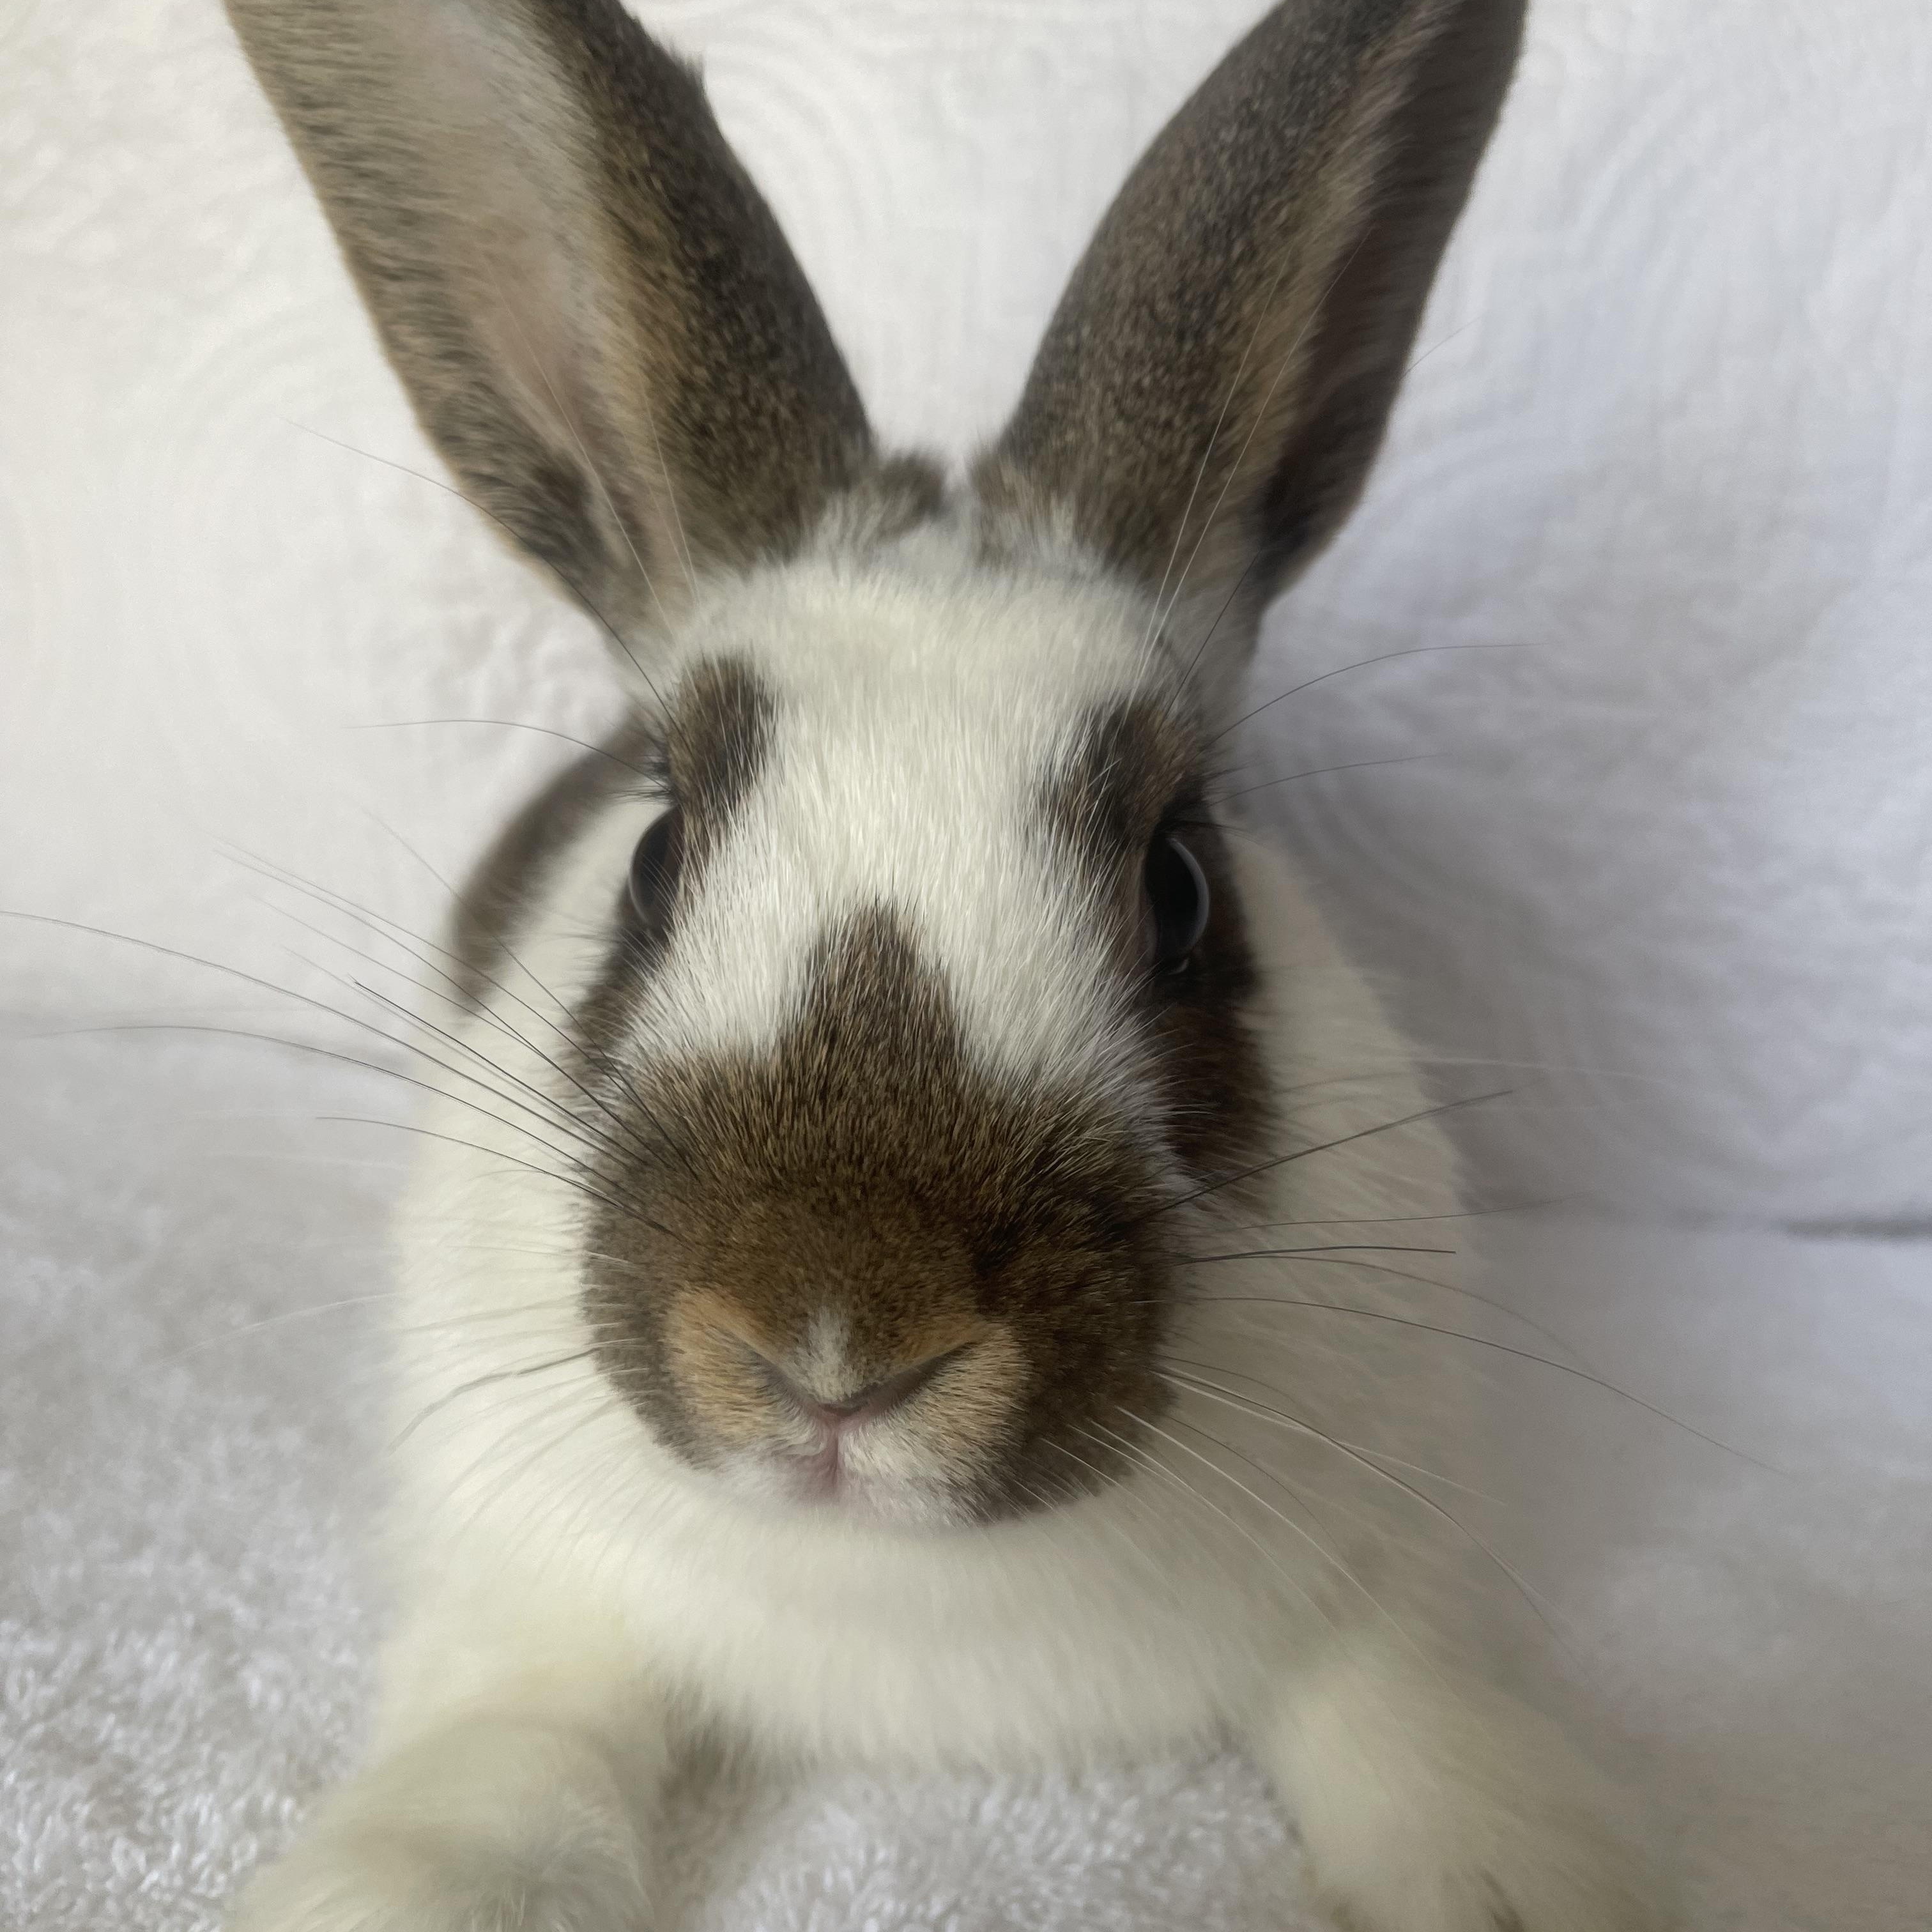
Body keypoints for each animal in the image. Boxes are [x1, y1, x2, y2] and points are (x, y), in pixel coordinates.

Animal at [219, 1, 1666, 1928]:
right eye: (657, 859)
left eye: (1182, 889)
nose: (838, 1340)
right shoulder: (519, 1589)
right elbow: (517, 1734)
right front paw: (403, 1882)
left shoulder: (1391, 1550)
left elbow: (1402, 1701)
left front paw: (1518, 1870)